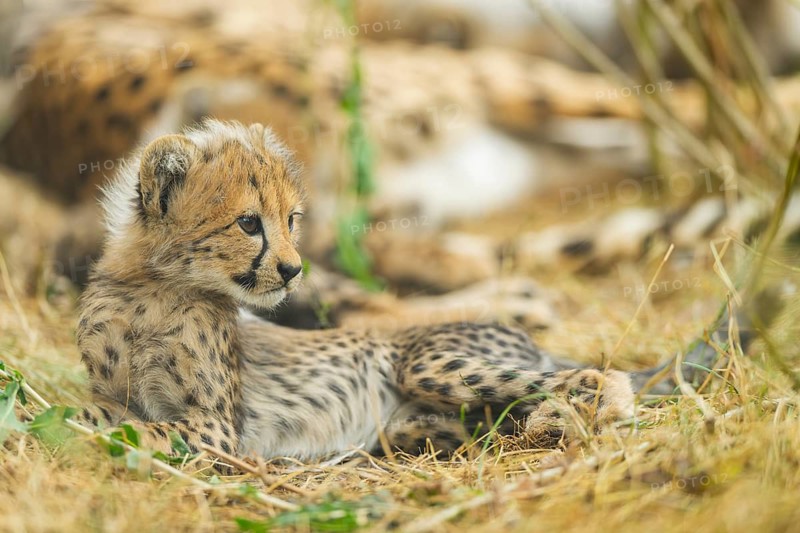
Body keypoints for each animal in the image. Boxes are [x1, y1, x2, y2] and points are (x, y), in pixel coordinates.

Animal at [76, 119, 638, 460]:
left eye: (291, 220)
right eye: (249, 223)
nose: (293, 270)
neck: (155, 292)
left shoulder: (218, 427)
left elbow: (134, 427)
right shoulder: (114, 393)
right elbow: (99, 410)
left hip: (427, 364)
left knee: (591, 375)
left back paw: (602, 409)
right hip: (417, 414)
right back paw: (541, 423)